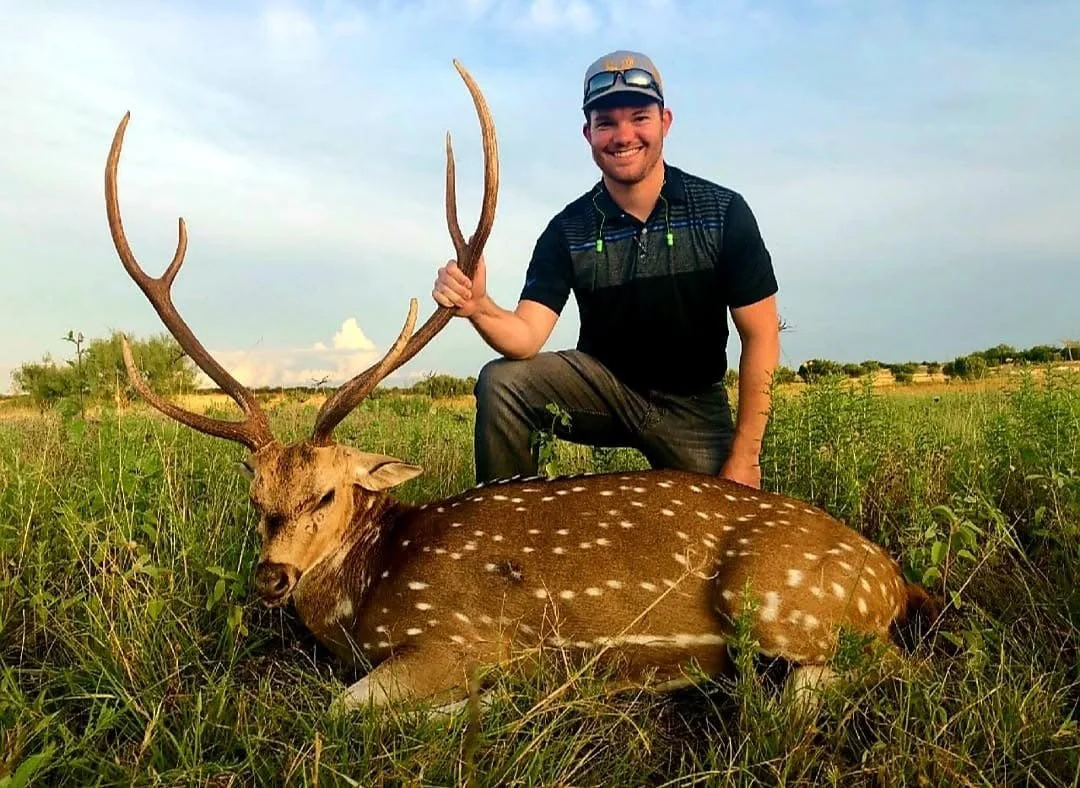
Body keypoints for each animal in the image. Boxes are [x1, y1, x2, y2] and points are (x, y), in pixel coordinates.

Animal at [104, 60, 938, 717]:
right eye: (256, 496)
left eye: (328, 493)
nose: (272, 576)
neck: (369, 597)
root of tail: (896, 580)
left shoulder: (460, 636)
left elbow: (342, 711)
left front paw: (488, 704)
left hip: (774, 594)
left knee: (883, 673)